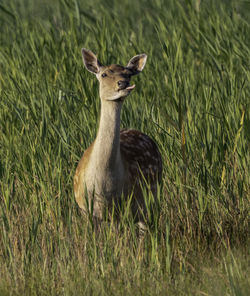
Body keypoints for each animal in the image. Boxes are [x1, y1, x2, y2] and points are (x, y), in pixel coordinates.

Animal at [73, 49, 162, 234]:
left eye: (128, 74)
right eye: (104, 74)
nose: (123, 83)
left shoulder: (122, 209)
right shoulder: (84, 208)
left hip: (152, 197)